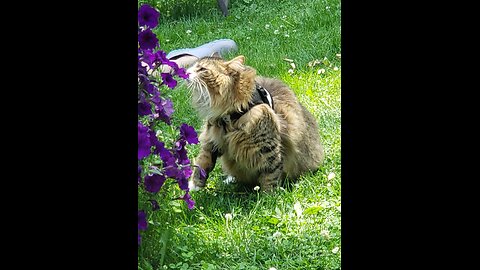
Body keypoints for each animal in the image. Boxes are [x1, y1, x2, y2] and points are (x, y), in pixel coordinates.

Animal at [186, 53, 324, 191]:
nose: (186, 72)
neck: (228, 115)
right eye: (193, 66)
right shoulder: (212, 140)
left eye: (202, 69)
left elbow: (270, 175)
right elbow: (202, 162)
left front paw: (268, 195)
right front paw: (194, 186)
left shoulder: (268, 149)